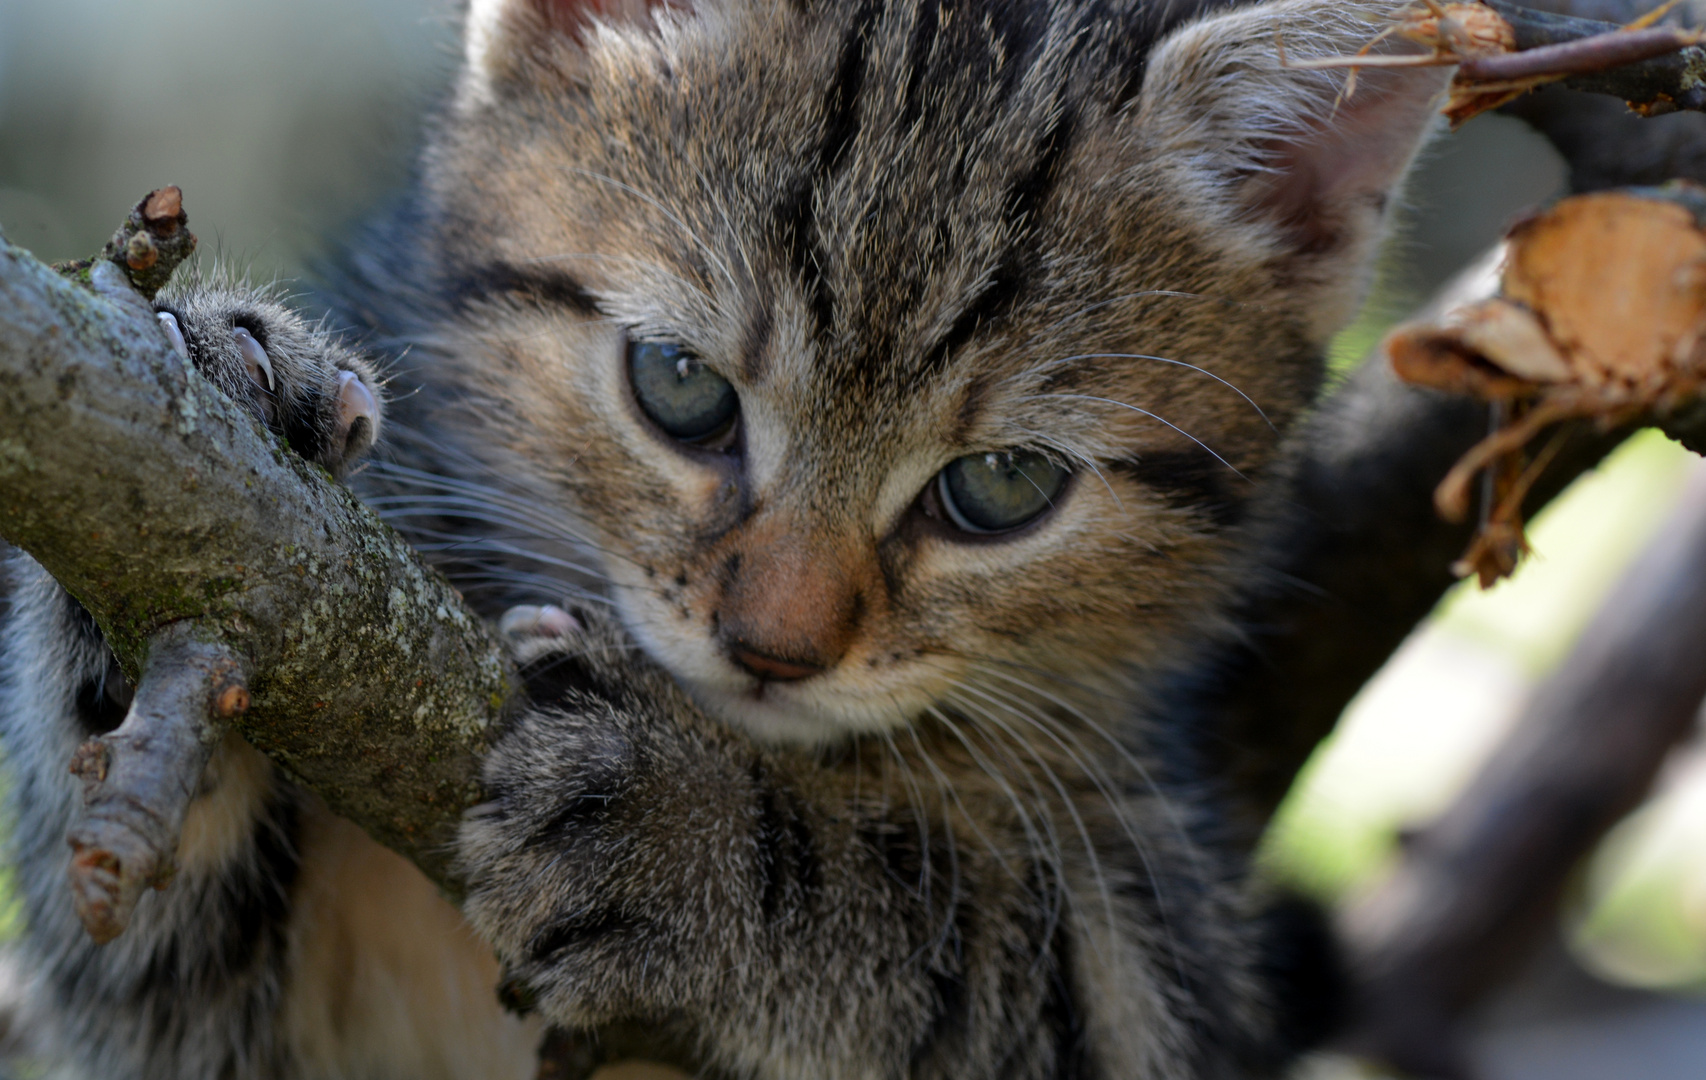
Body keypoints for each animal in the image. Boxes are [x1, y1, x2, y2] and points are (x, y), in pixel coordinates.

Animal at [0, 0, 1446, 1071]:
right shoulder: (206, 1019)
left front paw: (677, 836)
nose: (774, 646)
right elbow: (141, 935)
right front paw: (243, 394)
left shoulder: (1150, 955)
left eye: (1003, 485)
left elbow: (971, 947)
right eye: (680, 386)